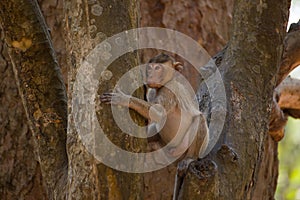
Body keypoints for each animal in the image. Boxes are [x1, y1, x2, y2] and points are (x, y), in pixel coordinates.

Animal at [99, 54, 207, 199]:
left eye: (158, 68)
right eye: (150, 68)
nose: (150, 75)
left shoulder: (170, 90)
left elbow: (159, 114)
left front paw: (124, 99)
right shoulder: (152, 91)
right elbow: (153, 119)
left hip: (184, 148)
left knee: (199, 119)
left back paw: (190, 158)